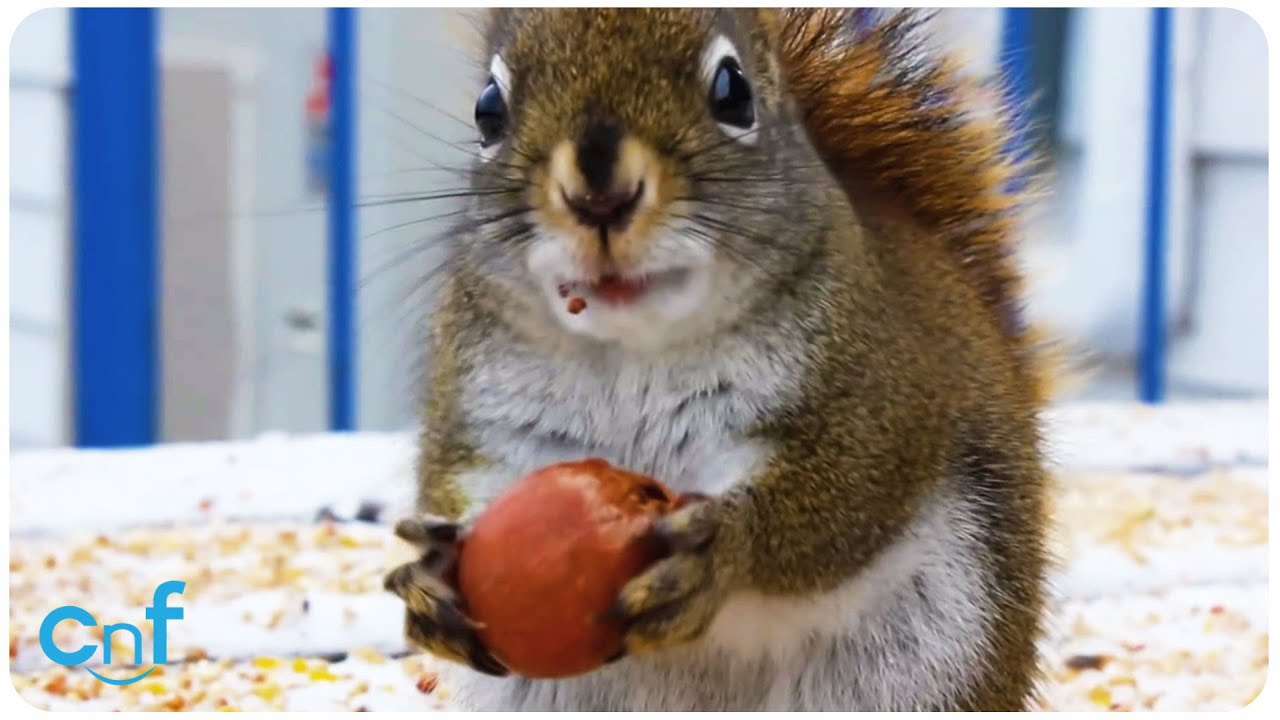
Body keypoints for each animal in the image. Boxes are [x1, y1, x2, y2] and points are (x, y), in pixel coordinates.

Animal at [383, 7, 1051, 712]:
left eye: (733, 93)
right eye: (488, 110)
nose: (600, 195)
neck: (634, 351)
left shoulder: (879, 392)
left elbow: (849, 496)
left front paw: (719, 548)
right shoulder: (483, 408)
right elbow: (453, 475)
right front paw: (431, 580)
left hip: (920, 664)